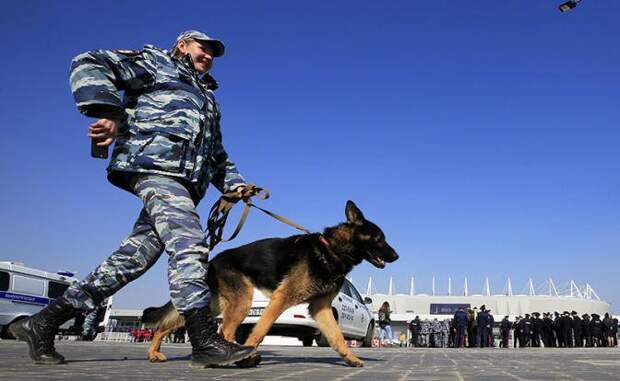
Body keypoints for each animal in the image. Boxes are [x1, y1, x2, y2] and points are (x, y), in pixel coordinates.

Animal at [142, 200, 398, 366]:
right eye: (379, 238)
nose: (396, 256)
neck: (332, 250)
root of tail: (212, 261)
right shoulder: (280, 300)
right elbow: (260, 331)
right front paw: (250, 353)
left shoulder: (321, 308)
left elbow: (337, 337)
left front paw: (351, 358)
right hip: (242, 303)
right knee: (225, 332)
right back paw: (239, 358)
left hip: (216, 305)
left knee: (168, 326)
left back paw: (154, 353)